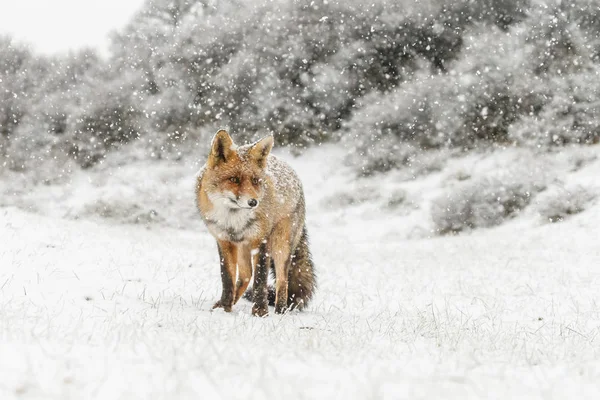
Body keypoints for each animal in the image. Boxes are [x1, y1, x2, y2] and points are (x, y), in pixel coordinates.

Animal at [197, 130, 318, 316]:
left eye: (255, 180)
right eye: (234, 179)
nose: (253, 202)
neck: (233, 219)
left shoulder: (261, 241)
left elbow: (260, 279)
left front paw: (260, 311)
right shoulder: (224, 241)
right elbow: (227, 279)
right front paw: (225, 307)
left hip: (280, 245)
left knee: (282, 281)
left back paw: (280, 311)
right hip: (243, 247)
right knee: (246, 275)